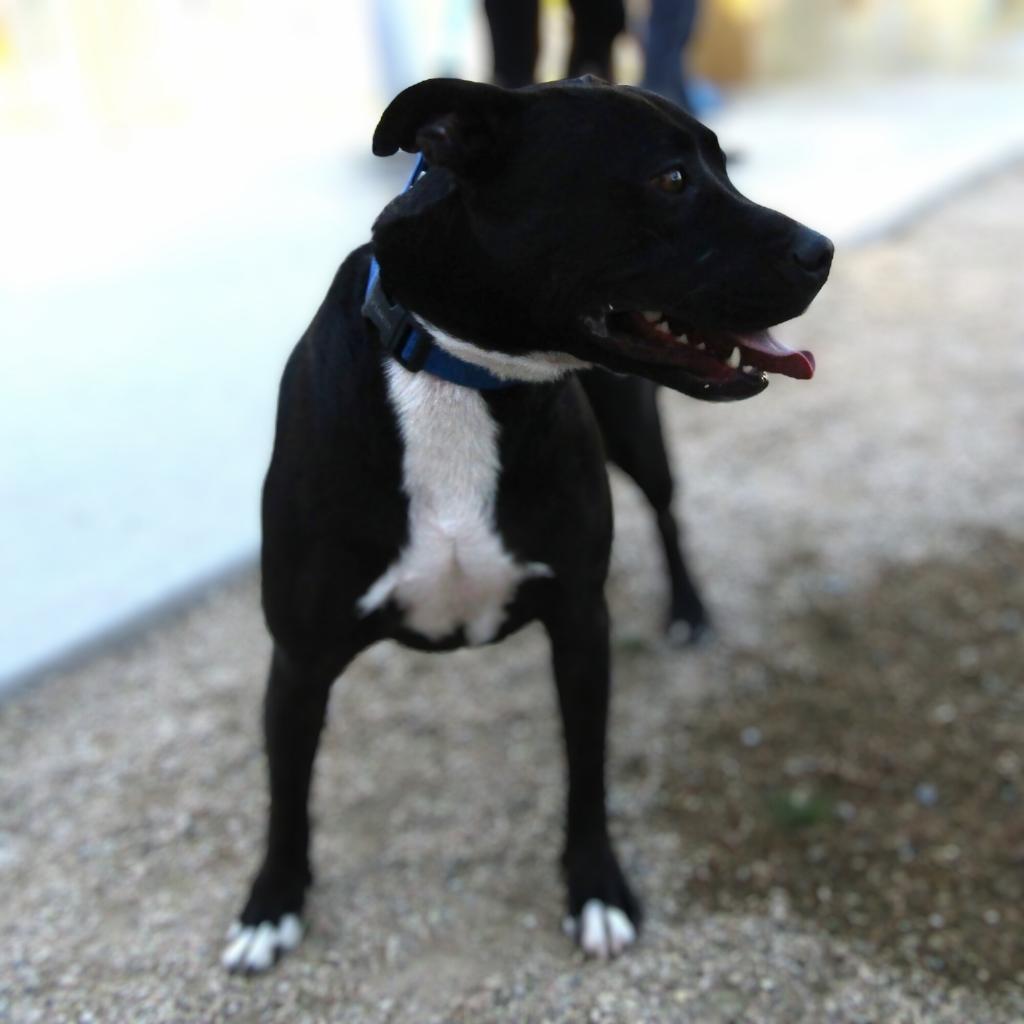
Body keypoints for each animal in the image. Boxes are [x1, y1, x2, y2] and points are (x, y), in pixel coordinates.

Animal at [224, 75, 831, 970]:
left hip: (637, 434)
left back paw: (688, 611)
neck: (460, 374)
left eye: (723, 167)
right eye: (672, 180)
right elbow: (285, 794)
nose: (822, 250)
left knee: (668, 511)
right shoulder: (299, 660)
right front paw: (271, 904)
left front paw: (597, 889)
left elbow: (587, 774)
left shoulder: (579, 622)